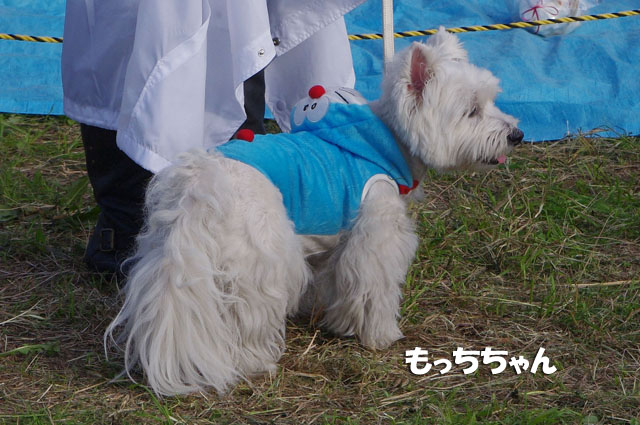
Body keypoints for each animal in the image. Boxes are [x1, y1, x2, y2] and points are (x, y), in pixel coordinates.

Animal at [106, 29, 524, 394]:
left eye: (492, 101)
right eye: (471, 111)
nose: (516, 134)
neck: (389, 140)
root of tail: (199, 186)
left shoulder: (336, 241)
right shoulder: (377, 239)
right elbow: (373, 289)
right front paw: (380, 335)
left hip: (170, 255)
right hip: (264, 259)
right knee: (249, 318)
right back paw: (257, 361)